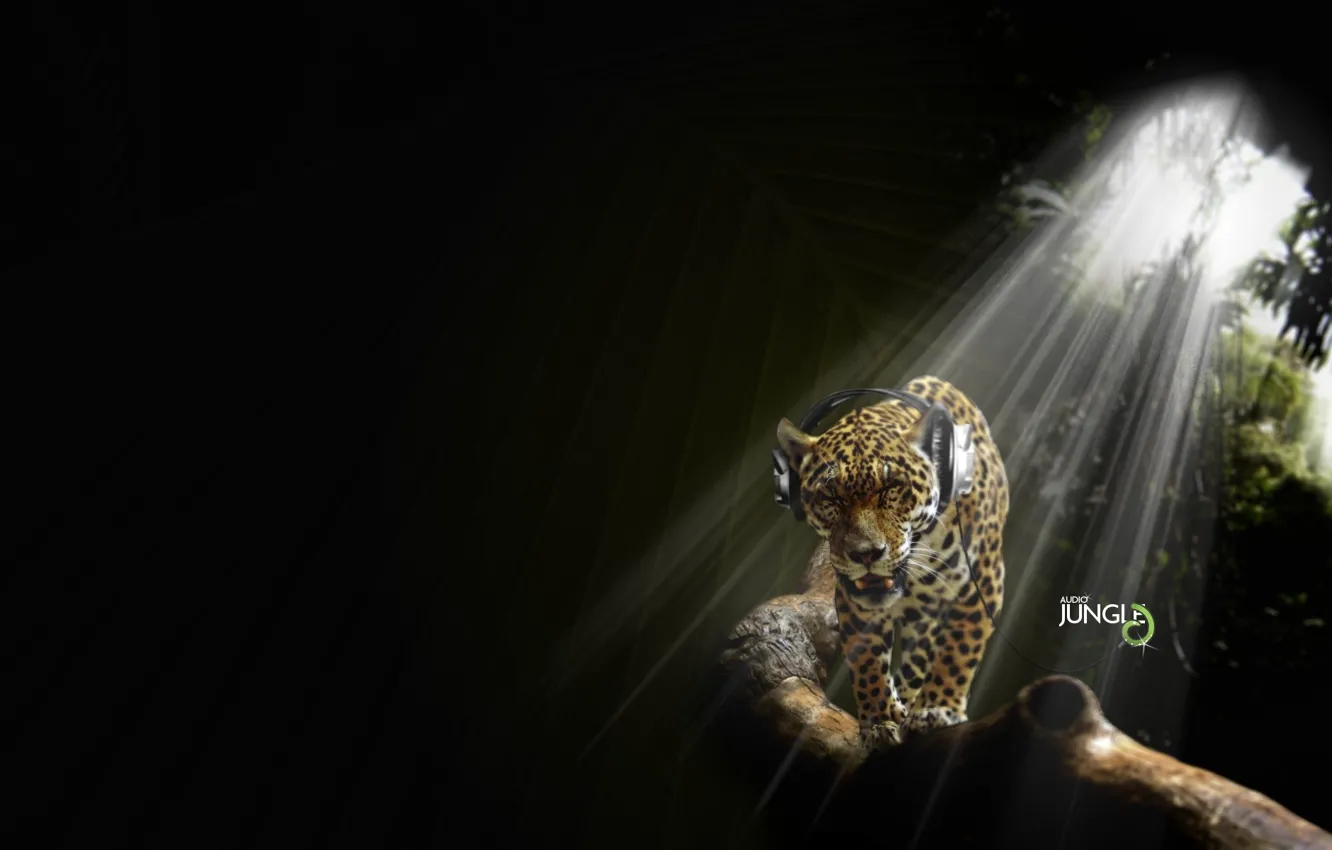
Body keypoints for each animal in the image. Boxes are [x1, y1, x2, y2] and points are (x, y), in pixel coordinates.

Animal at [775, 375, 1008, 754]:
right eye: (831, 496)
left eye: (891, 488)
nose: (866, 553)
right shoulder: (854, 601)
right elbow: (867, 663)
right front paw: (879, 722)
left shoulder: (984, 581)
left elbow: (959, 646)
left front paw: (936, 709)